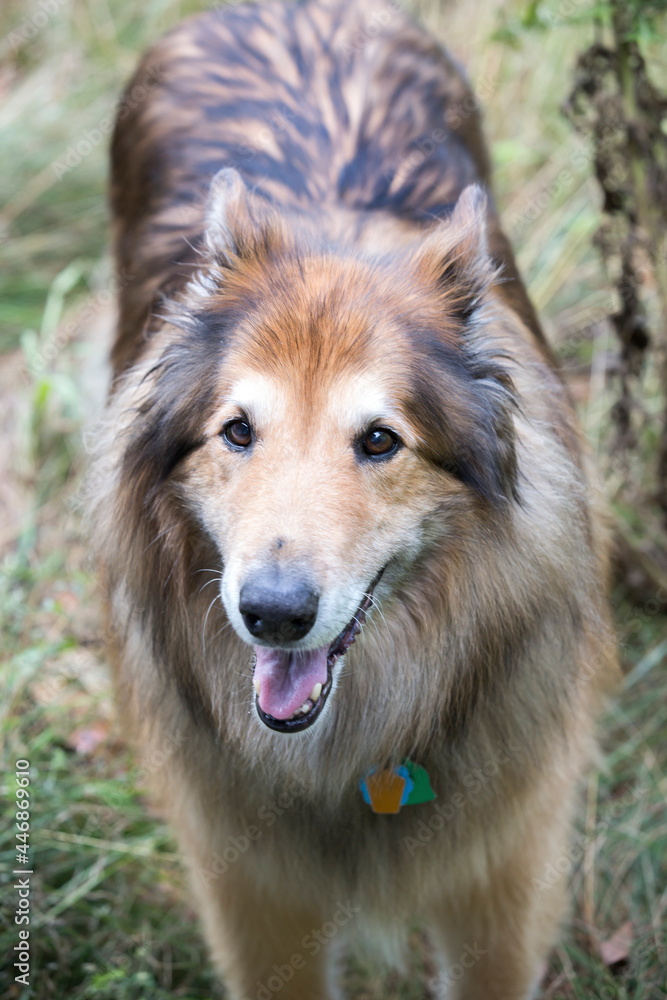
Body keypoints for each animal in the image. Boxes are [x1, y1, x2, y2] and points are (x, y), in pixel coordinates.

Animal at [90, 3, 620, 996]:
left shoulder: (503, 879)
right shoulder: (254, 898)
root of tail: (286, 8)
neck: (351, 758)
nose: (272, 614)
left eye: (379, 441)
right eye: (237, 433)